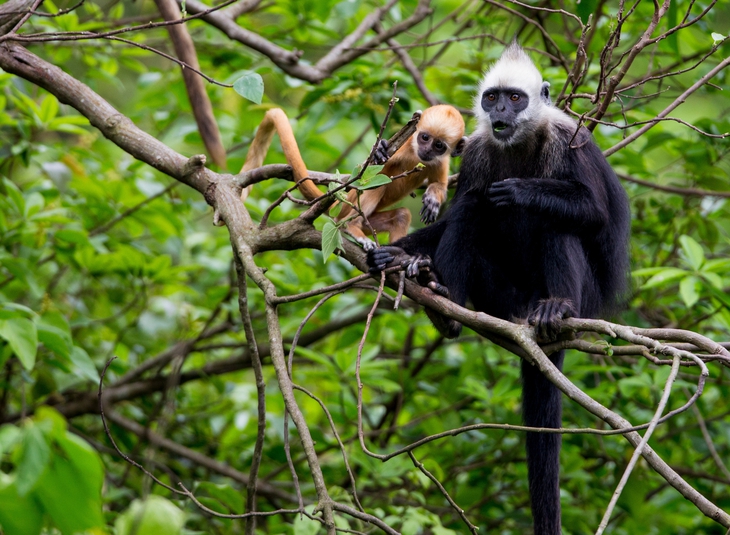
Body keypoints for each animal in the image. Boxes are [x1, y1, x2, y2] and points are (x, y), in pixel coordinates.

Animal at [242, 109, 464, 251]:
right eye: (424, 137)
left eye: (439, 145)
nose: (427, 150)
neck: (417, 156)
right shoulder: (404, 146)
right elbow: (364, 173)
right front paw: (380, 148)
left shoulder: (440, 162)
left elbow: (439, 185)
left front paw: (433, 200)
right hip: (348, 209)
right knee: (376, 185)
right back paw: (352, 228)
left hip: (371, 222)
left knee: (401, 215)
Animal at [366, 43, 628, 535]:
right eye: (492, 99)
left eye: (515, 98)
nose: (501, 113)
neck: (519, 143)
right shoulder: (478, 151)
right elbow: (461, 207)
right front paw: (394, 255)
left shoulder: (570, 140)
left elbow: (593, 213)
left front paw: (522, 190)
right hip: (498, 295)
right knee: (472, 208)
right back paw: (444, 305)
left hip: (580, 297)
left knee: (556, 223)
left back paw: (555, 311)